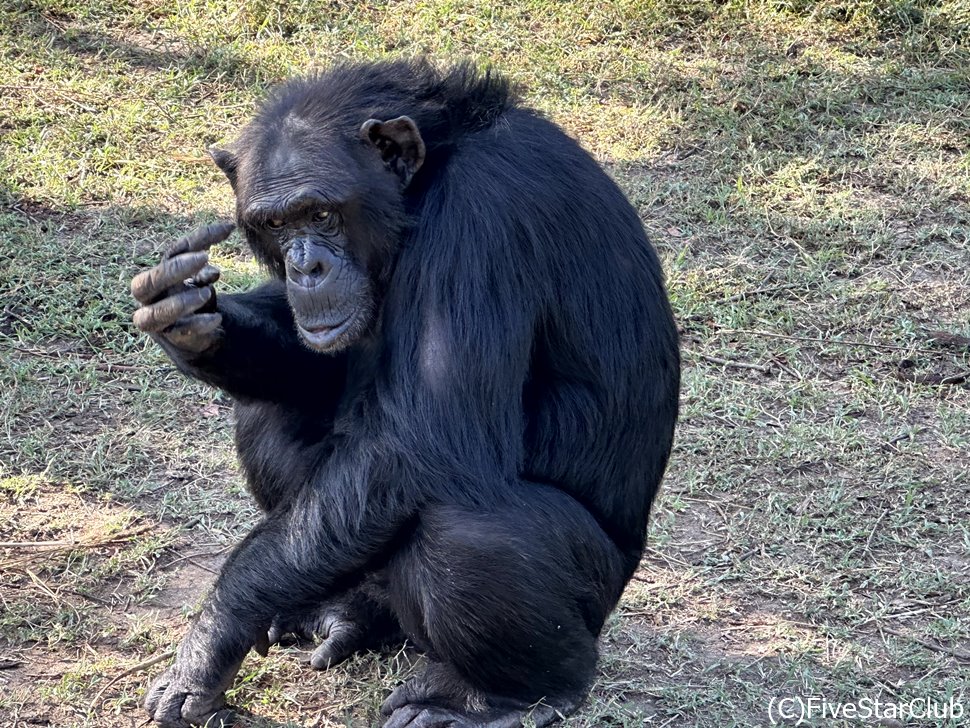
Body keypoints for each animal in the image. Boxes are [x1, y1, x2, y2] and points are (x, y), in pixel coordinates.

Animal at [132, 58, 680, 728]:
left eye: (321, 214)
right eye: (276, 224)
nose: (305, 267)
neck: (426, 184)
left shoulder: (482, 218)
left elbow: (422, 437)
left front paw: (214, 635)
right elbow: (324, 370)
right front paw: (188, 317)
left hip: (595, 593)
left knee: (461, 536)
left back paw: (504, 697)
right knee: (268, 418)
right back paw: (354, 612)